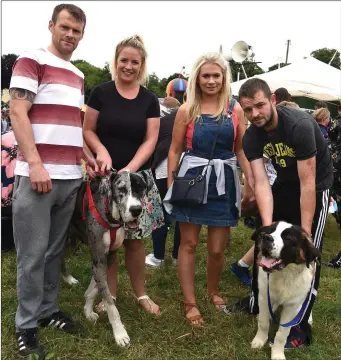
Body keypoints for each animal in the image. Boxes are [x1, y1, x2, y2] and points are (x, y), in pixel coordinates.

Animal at [67, 170, 149, 348]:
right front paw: (120, 334)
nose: (136, 210)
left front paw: (88, 310)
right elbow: (111, 304)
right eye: (122, 189)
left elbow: (96, 287)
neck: (110, 214)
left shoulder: (108, 257)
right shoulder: (99, 258)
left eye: (140, 188)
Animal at [250, 222, 318, 360]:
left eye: (288, 238)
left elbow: (282, 334)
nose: (266, 237)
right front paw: (259, 340)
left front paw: (277, 354)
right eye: (269, 231)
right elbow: (263, 323)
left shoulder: (292, 307)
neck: (284, 275)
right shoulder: (265, 298)